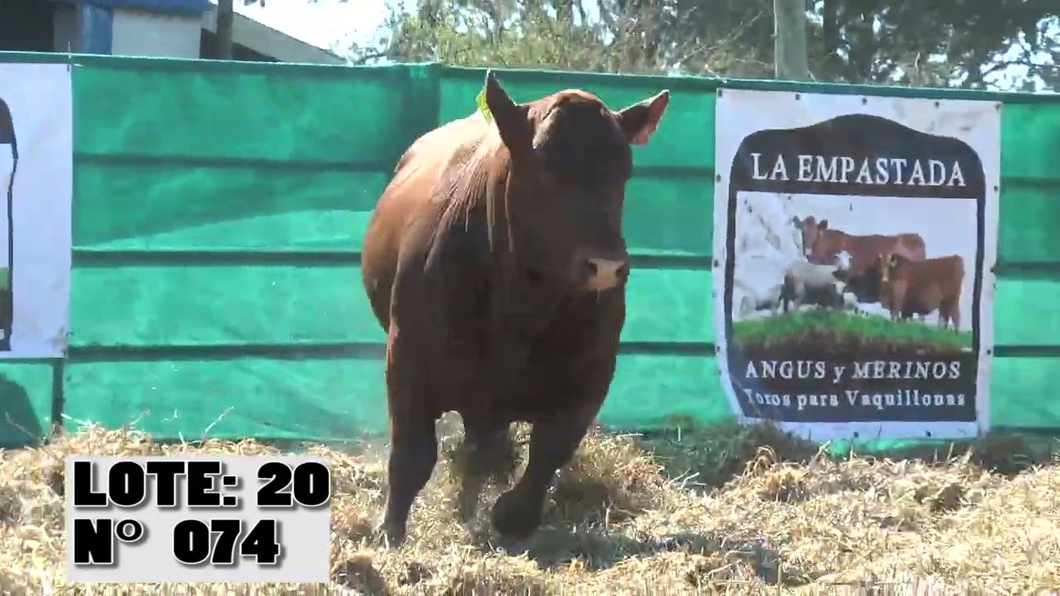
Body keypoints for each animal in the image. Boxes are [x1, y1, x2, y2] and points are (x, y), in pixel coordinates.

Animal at [360, 69, 665, 542]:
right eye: (542, 165)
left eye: (624, 170)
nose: (606, 266)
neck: (519, 306)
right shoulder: (406, 356)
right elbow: (412, 456)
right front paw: (390, 532)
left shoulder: (594, 372)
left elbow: (549, 451)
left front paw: (509, 514)